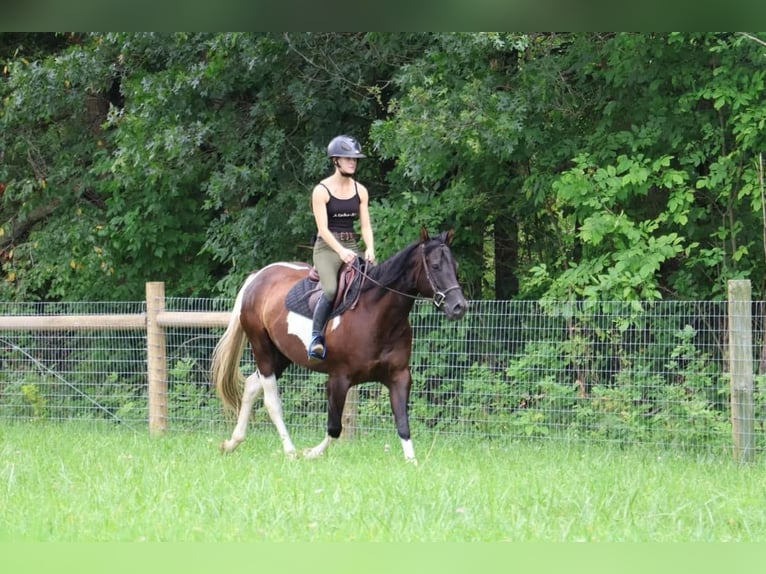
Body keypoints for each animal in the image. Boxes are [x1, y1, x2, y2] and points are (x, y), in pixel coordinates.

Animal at [210, 227, 468, 463]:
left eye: (455, 266)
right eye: (435, 266)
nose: (459, 307)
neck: (376, 315)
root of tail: (257, 277)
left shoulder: (399, 377)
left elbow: (403, 423)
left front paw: (412, 462)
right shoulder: (338, 379)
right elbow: (334, 427)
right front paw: (311, 452)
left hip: (281, 354)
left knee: (252, 385)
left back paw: (232, 443)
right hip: (262, 348)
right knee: (271, 399)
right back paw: (290, 451)